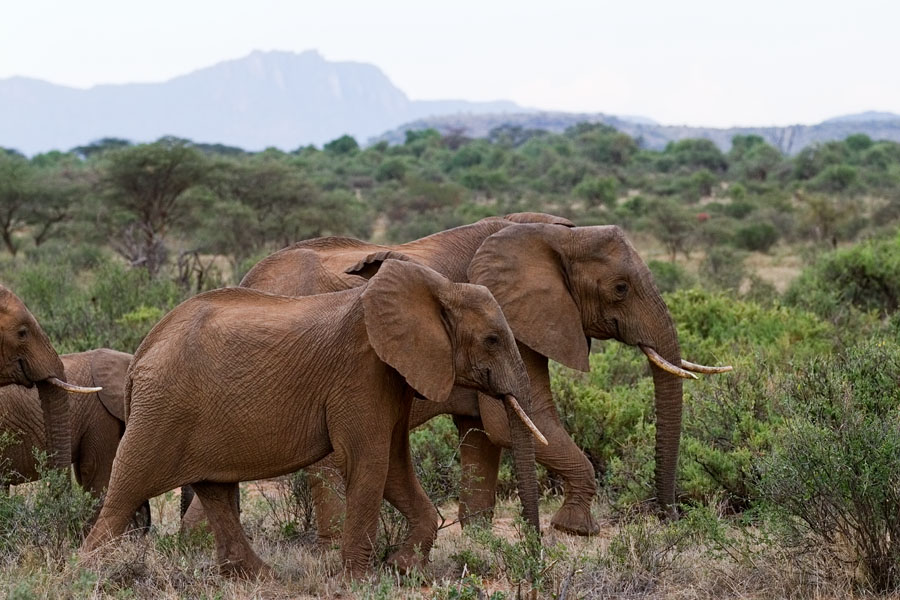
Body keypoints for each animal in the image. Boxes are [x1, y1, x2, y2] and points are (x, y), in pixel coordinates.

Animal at [81, 260, 543, 578]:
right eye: (492, 339)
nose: (535, 549)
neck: (437, 288)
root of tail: (141, 353)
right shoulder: (361, 372)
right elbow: (367, 461)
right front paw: (358, 580)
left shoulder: (390, 377)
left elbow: (394, 465)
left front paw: (402, 568)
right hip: (162, 410)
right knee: (128, 487)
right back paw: (90, 571)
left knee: (214, 489)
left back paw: (260, 578)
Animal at [225, 215, 730, 539]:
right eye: (621, 289)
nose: (670, 517)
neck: (553, 234)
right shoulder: (510, 322)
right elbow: (520, 422)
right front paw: (575, 529)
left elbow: (483, 434)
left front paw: (481, 537)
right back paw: (329, 550)